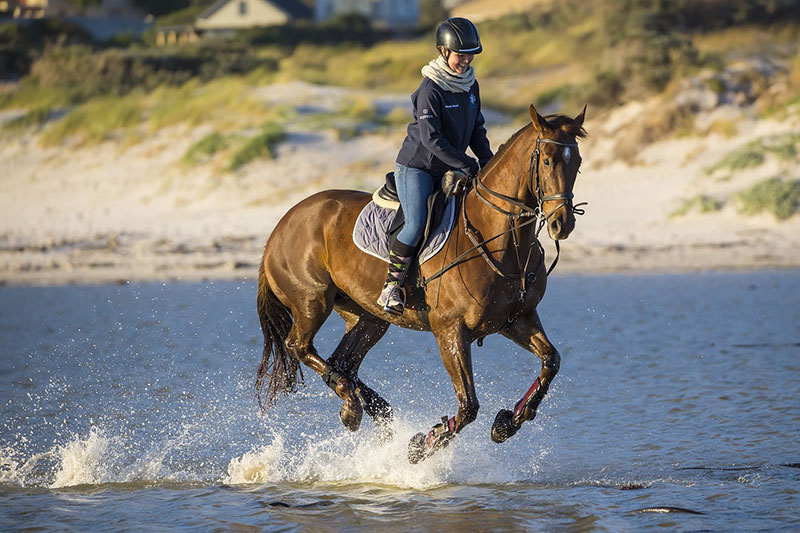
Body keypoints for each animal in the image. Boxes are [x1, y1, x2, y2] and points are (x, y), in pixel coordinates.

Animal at [255, 104, 587, 463]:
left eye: (577, 163)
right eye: (547, 161)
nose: (562, 223)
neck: (498, 239)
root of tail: (280, 226)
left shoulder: (517, 320)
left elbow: (551, 362)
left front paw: (507, 423)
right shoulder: (450, 331)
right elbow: (468, 406)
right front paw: (423, 445)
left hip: (368, 316)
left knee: (342, 362)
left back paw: (368, 409)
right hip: (312, 302)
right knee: (300, 346)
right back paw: (353, 407)